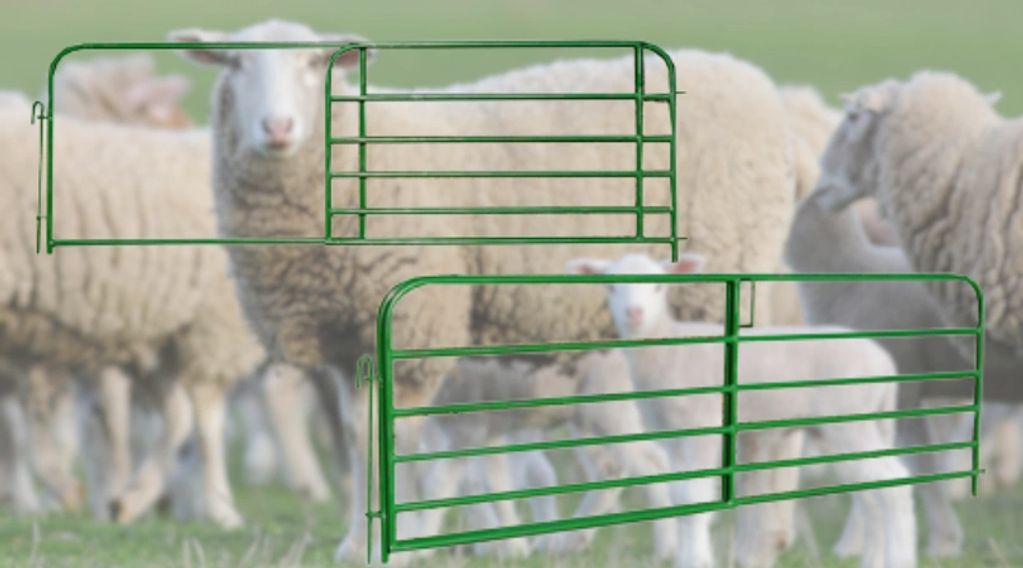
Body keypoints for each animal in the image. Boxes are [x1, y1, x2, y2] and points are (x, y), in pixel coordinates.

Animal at [172, 19, 801, 560]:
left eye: (313, 65)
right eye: (235, 64)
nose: (277, 129)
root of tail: (748, 78)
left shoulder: (414, 325)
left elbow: (392, 439)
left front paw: (393, 544)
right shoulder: (345, 341)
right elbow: (355, 438)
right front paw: (355, 543)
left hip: (719, 287)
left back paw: (758, 533)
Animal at [567, 252, 917, 568]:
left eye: (658, 286)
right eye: (611, 286)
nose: (634, 313)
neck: (670, 347)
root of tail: (884, 363)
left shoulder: (703, 424)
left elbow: (693, 497)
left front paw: (696, 560)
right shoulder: (674, 436)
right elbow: (679, 497)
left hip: (850, 424)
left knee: (894, 487)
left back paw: (899, 559)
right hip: (852, 427)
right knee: (872, 493)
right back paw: (873, 560)